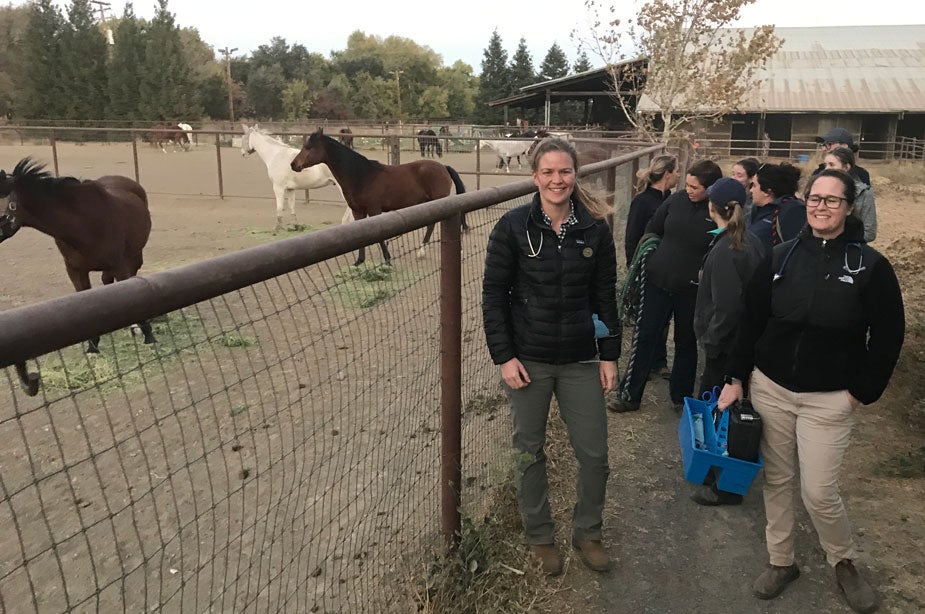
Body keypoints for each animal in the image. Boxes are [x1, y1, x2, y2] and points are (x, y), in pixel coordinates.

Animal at [0, 158, 155, 366]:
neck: (83, 224)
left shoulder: (120, 265)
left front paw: (147, 335)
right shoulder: (75, 271)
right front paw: (93, 347)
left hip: (135, 255)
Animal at [290, 129, 470, 266]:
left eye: (309, 147)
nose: (293, 165)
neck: (362, 176)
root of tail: (443, 167)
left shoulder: (374, 209)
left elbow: (381, 237)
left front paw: (388, 260)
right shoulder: (358, 211)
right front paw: (359, 261)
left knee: (434, 225)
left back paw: (425, 251)